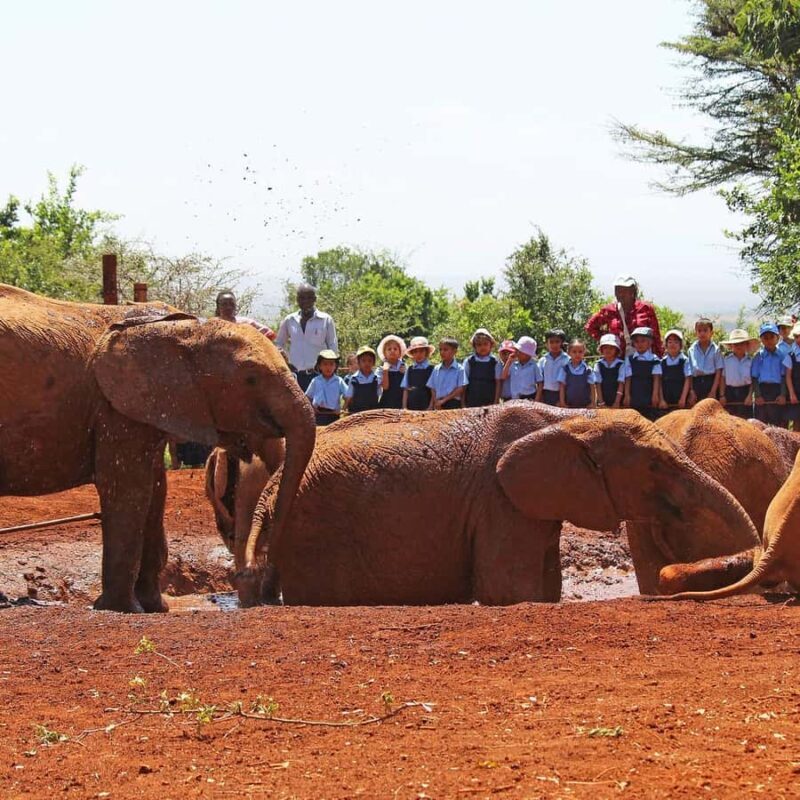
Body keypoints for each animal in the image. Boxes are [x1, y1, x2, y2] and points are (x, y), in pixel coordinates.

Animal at [0, 284, 315, 613]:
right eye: (251, 378)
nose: (270, 595)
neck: (185, 329)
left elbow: (155, 489)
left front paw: (154, 606)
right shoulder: (116, 408)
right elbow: (130, 489)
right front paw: (121, 608)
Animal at [234, 403, 760, 606]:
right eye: (655, 464)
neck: (572, 417)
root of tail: (270, 490)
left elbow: (543, 588)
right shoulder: (498, 502)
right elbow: (510, 590)